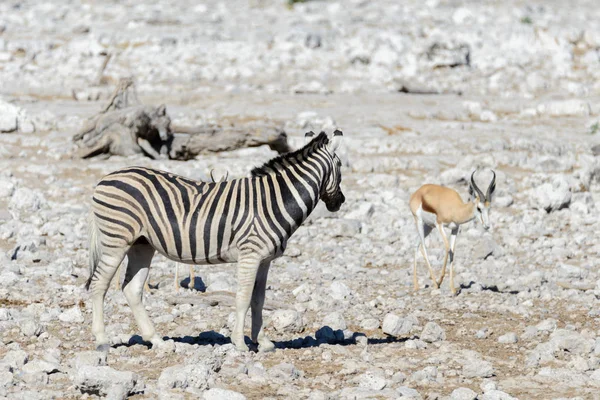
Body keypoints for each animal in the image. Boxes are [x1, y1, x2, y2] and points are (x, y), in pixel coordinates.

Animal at [86, 130, 344, 352]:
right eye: (341, 167)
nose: (340, 202)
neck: (274, 200)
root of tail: (106, 178)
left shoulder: (264, 260)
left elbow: (258, 300)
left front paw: (261, 341)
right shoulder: (250, 255)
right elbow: (243, 299)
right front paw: (239, 343)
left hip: (141, 244)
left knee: (132, 290)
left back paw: (157, 340)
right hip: (116, 240)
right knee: (99, 285)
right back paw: (101, 340)